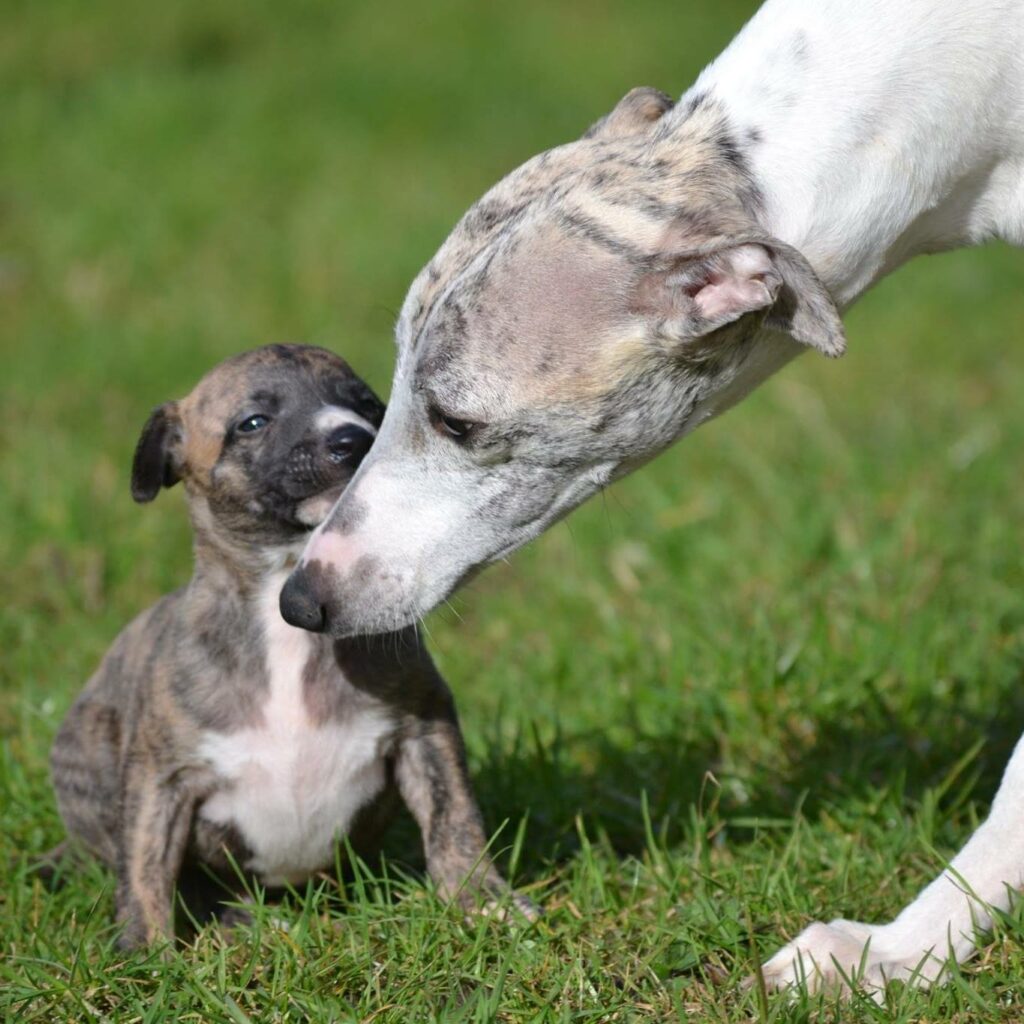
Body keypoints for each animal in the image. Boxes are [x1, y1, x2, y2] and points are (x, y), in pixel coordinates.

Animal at [46, 346, 528, 950]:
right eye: (253, 422)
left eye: (367, 404)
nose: (353, 438)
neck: (286, 616)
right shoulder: (161, 776)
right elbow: (144, 865)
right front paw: (146, 952)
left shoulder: (424, 726)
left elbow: (454, 815)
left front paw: (480, 899)